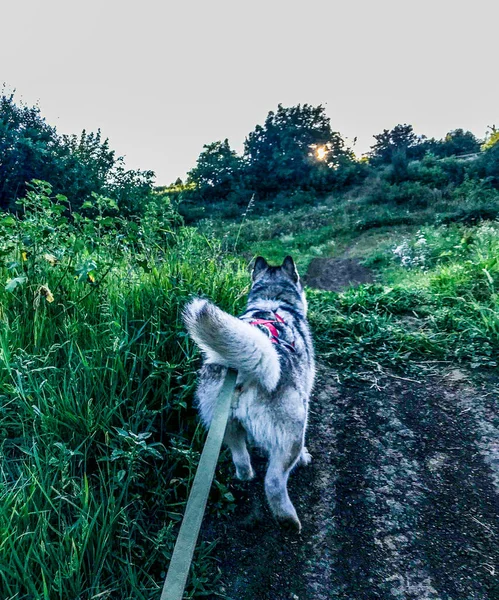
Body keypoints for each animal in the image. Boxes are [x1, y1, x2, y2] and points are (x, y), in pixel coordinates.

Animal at [184, 255, 316, 532]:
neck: (272, 300)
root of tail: (245, 372)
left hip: (224, 426)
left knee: (241, 459)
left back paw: (245, 475)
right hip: (292, 436)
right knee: (274, 483)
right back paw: (289, 520)